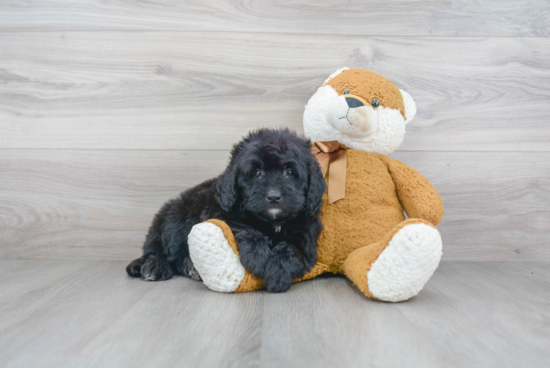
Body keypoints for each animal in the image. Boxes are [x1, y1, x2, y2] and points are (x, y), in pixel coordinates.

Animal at [127, 128, 326, 292]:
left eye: (290, 173)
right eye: (258, 172)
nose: (274, 196)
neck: (273, 222)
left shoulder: (307, 240)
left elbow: (292, 250)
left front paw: (278, 272)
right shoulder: (218, 212)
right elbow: (242, 227)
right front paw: (257, 256)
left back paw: (190, 267)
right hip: (173, 219)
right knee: (158, 251)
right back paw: (155, 267)